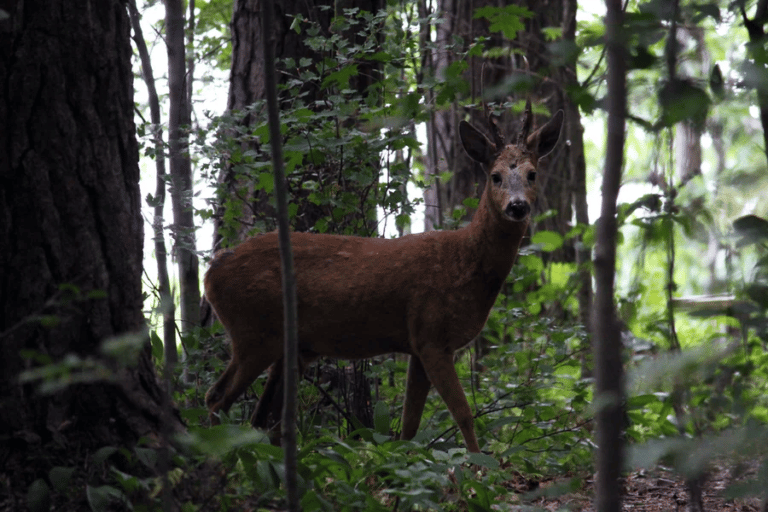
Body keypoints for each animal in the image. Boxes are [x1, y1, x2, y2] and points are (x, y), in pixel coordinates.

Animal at [204, 103, 564, 452]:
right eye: (495, 176)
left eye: (532, 174)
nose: (517, 206)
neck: (465, 264)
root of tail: (212, 270)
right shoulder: (432, 334)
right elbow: (463, 413)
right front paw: (478, 467)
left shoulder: (418, 345)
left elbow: (409, 426)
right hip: (254, 332)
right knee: (218, 398)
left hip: (289, 346)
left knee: (263, 418)